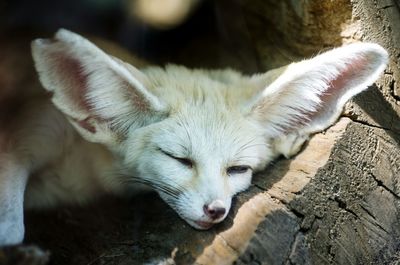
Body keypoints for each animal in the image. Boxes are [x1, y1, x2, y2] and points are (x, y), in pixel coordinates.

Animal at [0, 29, 388, 244]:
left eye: (238, 169)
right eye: (180, 160)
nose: (215, 210)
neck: (89, 174)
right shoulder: (35, 130)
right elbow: (12, 230)